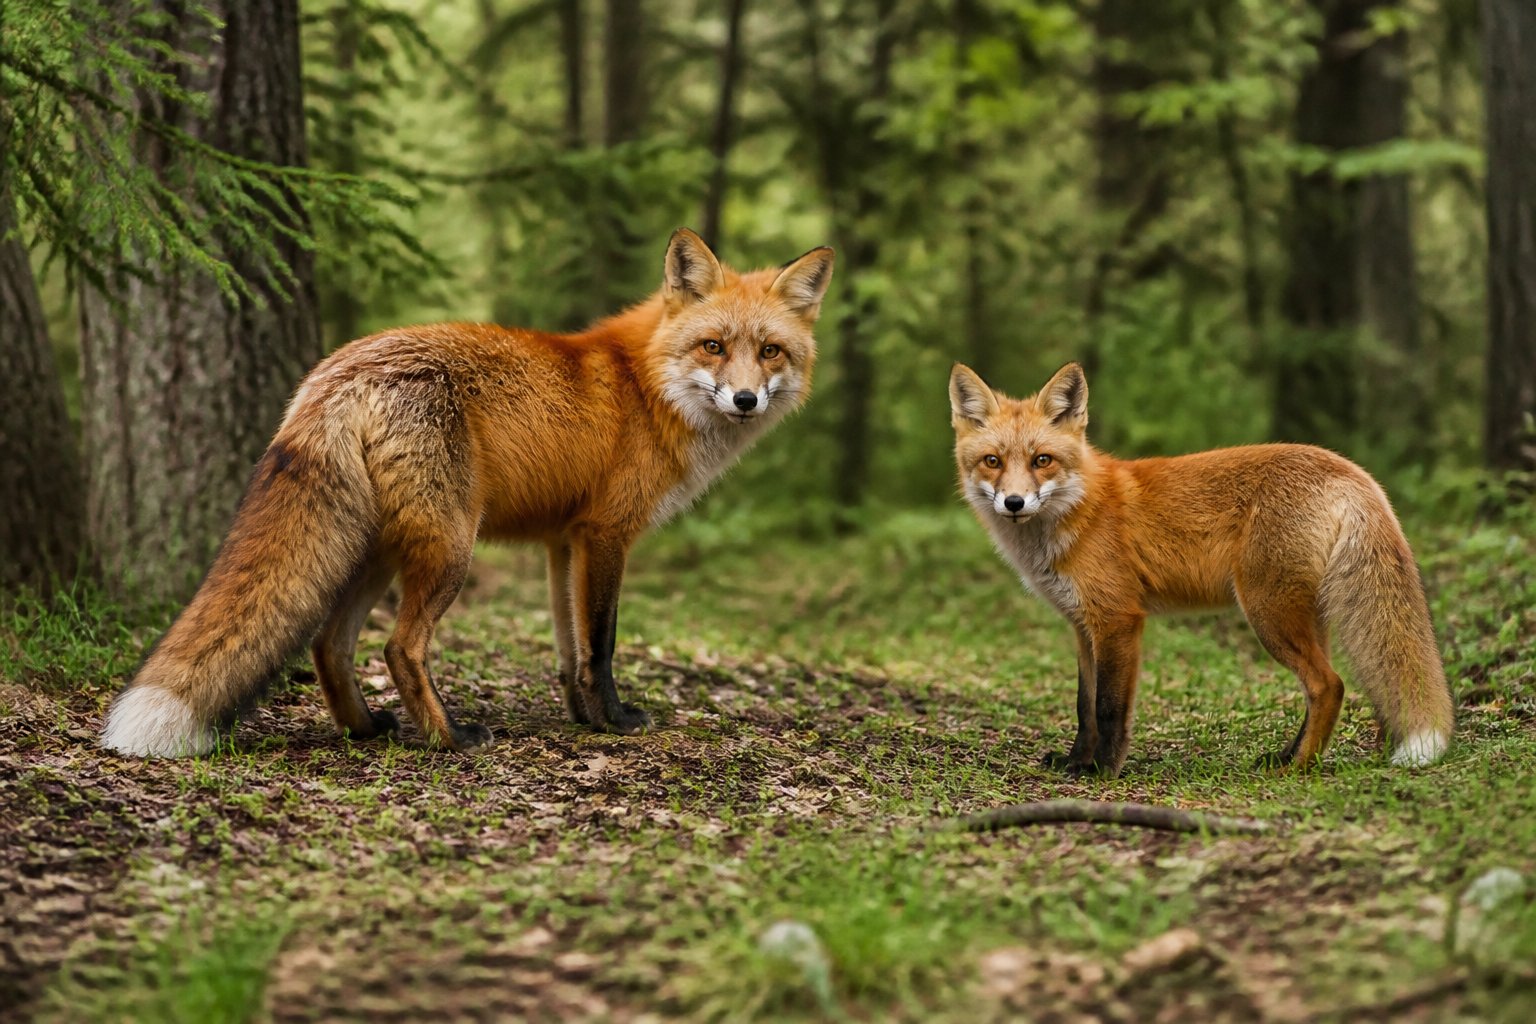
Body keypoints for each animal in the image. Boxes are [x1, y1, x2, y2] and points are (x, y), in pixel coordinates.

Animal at [100, 229, 835, 757]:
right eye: (713, 346)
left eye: (770, 352)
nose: (745, 400)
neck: (646, 387)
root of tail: (335, 371)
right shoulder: (607, 535)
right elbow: (602, 643)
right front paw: (617, 721)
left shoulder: (562, 542)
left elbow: (568, 650)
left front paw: (582, 718)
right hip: (451, 546)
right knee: (398, 648)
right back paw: (447, 738)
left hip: (379, 549)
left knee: (329, 644)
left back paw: (366, 730)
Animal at [948, 361, 1455, 777]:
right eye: (992, 461)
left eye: (1042, 460)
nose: (1014, 502)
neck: (1076, 513)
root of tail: (1350, 469)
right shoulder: (1081, 625)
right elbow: (1083, 708)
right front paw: (1075, 763)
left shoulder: (1118, 619)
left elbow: (1109, 709)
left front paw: (1103, 772)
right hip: (1304, 616)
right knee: (1322, 691)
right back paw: (1288, 756)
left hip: (1268, 613)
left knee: (1329, 685)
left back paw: (1298, 768)